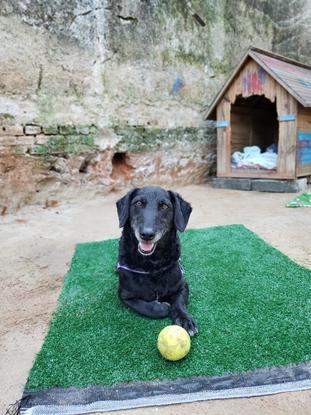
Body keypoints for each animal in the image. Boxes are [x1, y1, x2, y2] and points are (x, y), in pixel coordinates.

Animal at [116, 187, 199, 336]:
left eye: (164, 206)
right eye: (138, 203)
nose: (147, 234)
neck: (152, 264)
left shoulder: (182, 285)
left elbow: (179, 302)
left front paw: (184, 319)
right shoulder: (124, 295)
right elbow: (145, 307)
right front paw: (162, 308)